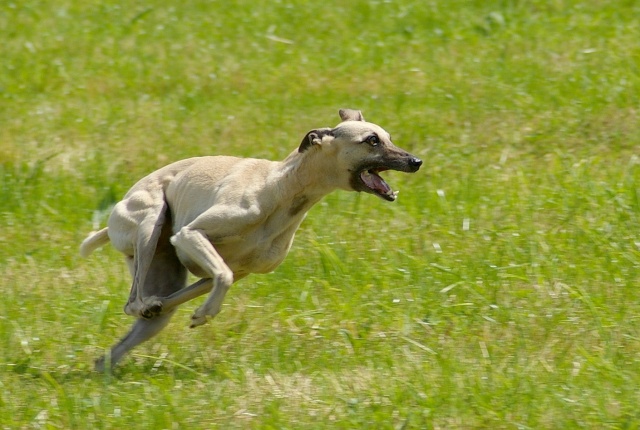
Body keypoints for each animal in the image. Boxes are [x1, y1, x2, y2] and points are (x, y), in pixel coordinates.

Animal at [80, 110, 422, 370]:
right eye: (372, 140)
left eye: (388, 136)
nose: (416, 161)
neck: (282, 188)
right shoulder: (190, 234)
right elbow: (222, 275)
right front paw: (204, 314)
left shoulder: (240, 269)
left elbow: (221, 278)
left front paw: (198, 310)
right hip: (150, 223)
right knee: (131, 303)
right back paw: (143, 306)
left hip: (161, 279)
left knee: (146, 318)